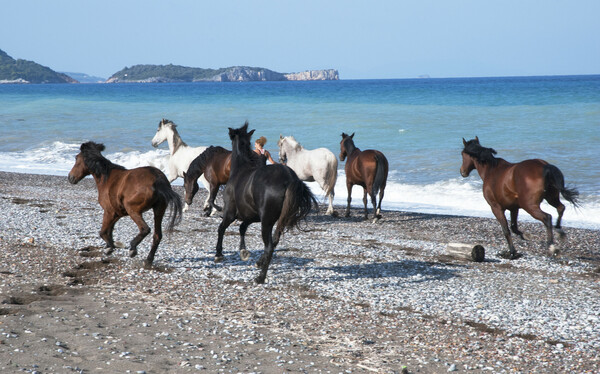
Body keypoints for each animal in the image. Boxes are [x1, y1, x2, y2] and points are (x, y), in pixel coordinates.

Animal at [216, 122, 318, 284]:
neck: (241, 170)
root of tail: (289, 178)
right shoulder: (251, 216)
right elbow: (242, 228)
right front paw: (244, 251)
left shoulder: (230, 214)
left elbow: (222, 228)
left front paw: (219, 253)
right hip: (277, 220)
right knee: (274, 242)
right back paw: (260, 262)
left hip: (266, 222)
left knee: (269, 246)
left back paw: (260, 277)